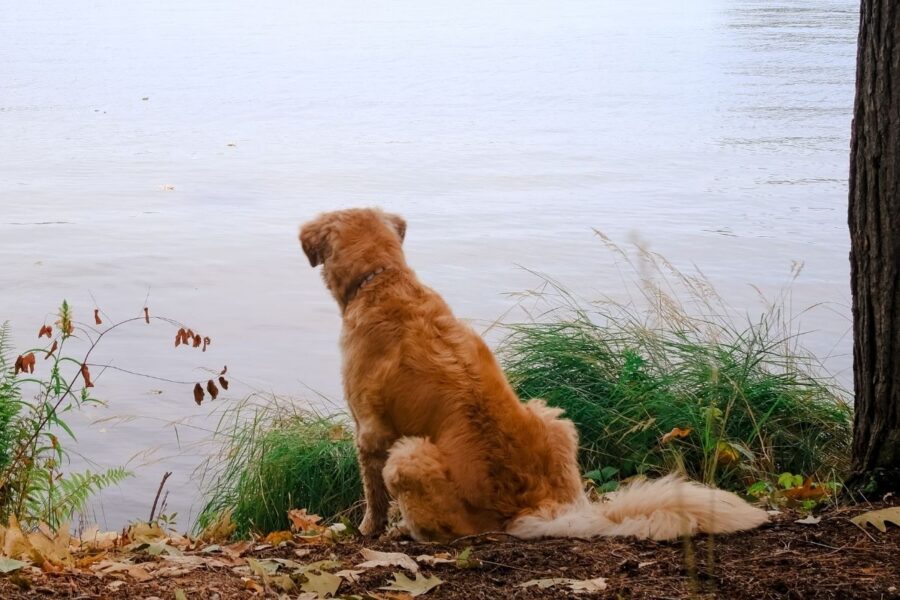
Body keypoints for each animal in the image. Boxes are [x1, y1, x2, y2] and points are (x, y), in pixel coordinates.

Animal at [300, 210, 768, 544]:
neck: (382, 281)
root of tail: (535, 507)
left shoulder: (370, 431)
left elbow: (372, 495)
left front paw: (367, 530)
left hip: (408, 456)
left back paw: (408, 532)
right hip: (552, 416)